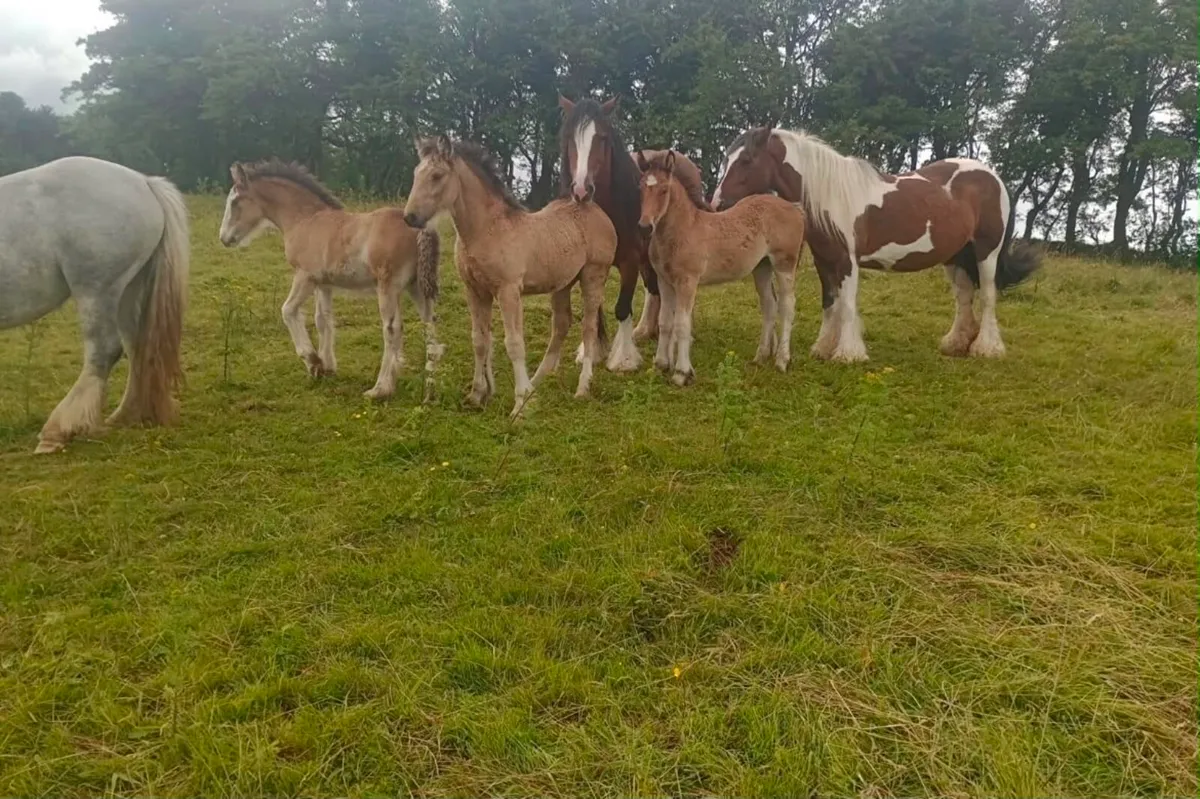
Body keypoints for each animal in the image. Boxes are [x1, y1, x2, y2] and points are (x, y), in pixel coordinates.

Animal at [0, 156, 188, 454]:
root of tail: (144, 182)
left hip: (97, 291)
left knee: (104, 350)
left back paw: (58, 431)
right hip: (128, 291)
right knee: (137, 347)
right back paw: (128, 415)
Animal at [218, 159, 443, 402]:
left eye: (235, 201)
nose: (224, 238)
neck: (305, 219)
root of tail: (420, 227)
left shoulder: (304, 276)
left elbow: (287, 310)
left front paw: (313, 361)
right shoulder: (323, 284)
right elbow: (323, 320)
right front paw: (326, 367)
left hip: (389, 287)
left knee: (392, 330)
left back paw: (380, 388)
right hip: (417, 288)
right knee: (430, 327)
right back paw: (429, 390)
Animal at [403, 136, 617, 418]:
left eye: (437, 176)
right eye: (416, 173)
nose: (410, 217)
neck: (486, 230)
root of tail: (594, 210)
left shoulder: (508, 291)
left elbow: (514, 343)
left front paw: (519, 406)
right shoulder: (475, 291)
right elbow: (479, 340)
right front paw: (477, 395)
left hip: (593, 276)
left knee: (589, 328)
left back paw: (581, 388)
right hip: (562, 284)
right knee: (561, 325)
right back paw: (535, 384)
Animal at [638, 150, 806, 386]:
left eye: (664, 190)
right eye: (641, 188)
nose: (645, 227)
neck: (684, 228)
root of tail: (795, 209)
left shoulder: (687, 281)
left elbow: (681, 324)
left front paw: (681, 373)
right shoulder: (664, 281)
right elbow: (665, 322)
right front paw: (660, 366)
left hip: (784, 264)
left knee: (787, 305)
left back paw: (782, 360)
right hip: (762, 268)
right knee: (769, 305)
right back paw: (760, 357)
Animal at [711, 127, 1041, 362]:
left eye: (746, 160)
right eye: (726, 159)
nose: (717, 204)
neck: (830, 196)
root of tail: (993, 177)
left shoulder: (847, 261)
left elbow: (847, 304)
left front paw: (848, 353)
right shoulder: (824, 261)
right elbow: (829, 303)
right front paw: (823, 347)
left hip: (987, 251)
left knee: (987, 296)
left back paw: (986, 348)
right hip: (956, 256)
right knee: (963, 296)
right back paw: (955, 343)